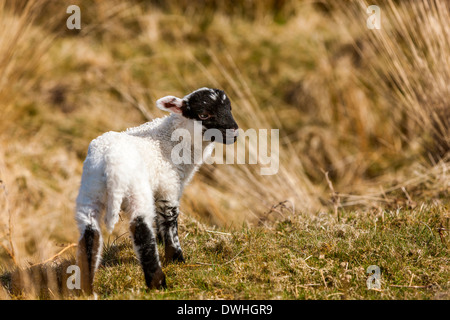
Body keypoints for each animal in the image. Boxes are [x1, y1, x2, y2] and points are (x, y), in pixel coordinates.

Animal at [75, 87, 239, 292]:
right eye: (203, 114)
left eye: (229, 108)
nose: (235, 133)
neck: (172, 139)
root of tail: (110, 162)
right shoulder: (169, 187)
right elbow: (169, 221)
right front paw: (176, 258)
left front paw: (161, 240)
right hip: (136, 191)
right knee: (141, 230)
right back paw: (158, 282)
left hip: (90, 190)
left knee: (90, 234)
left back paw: (86, 288)